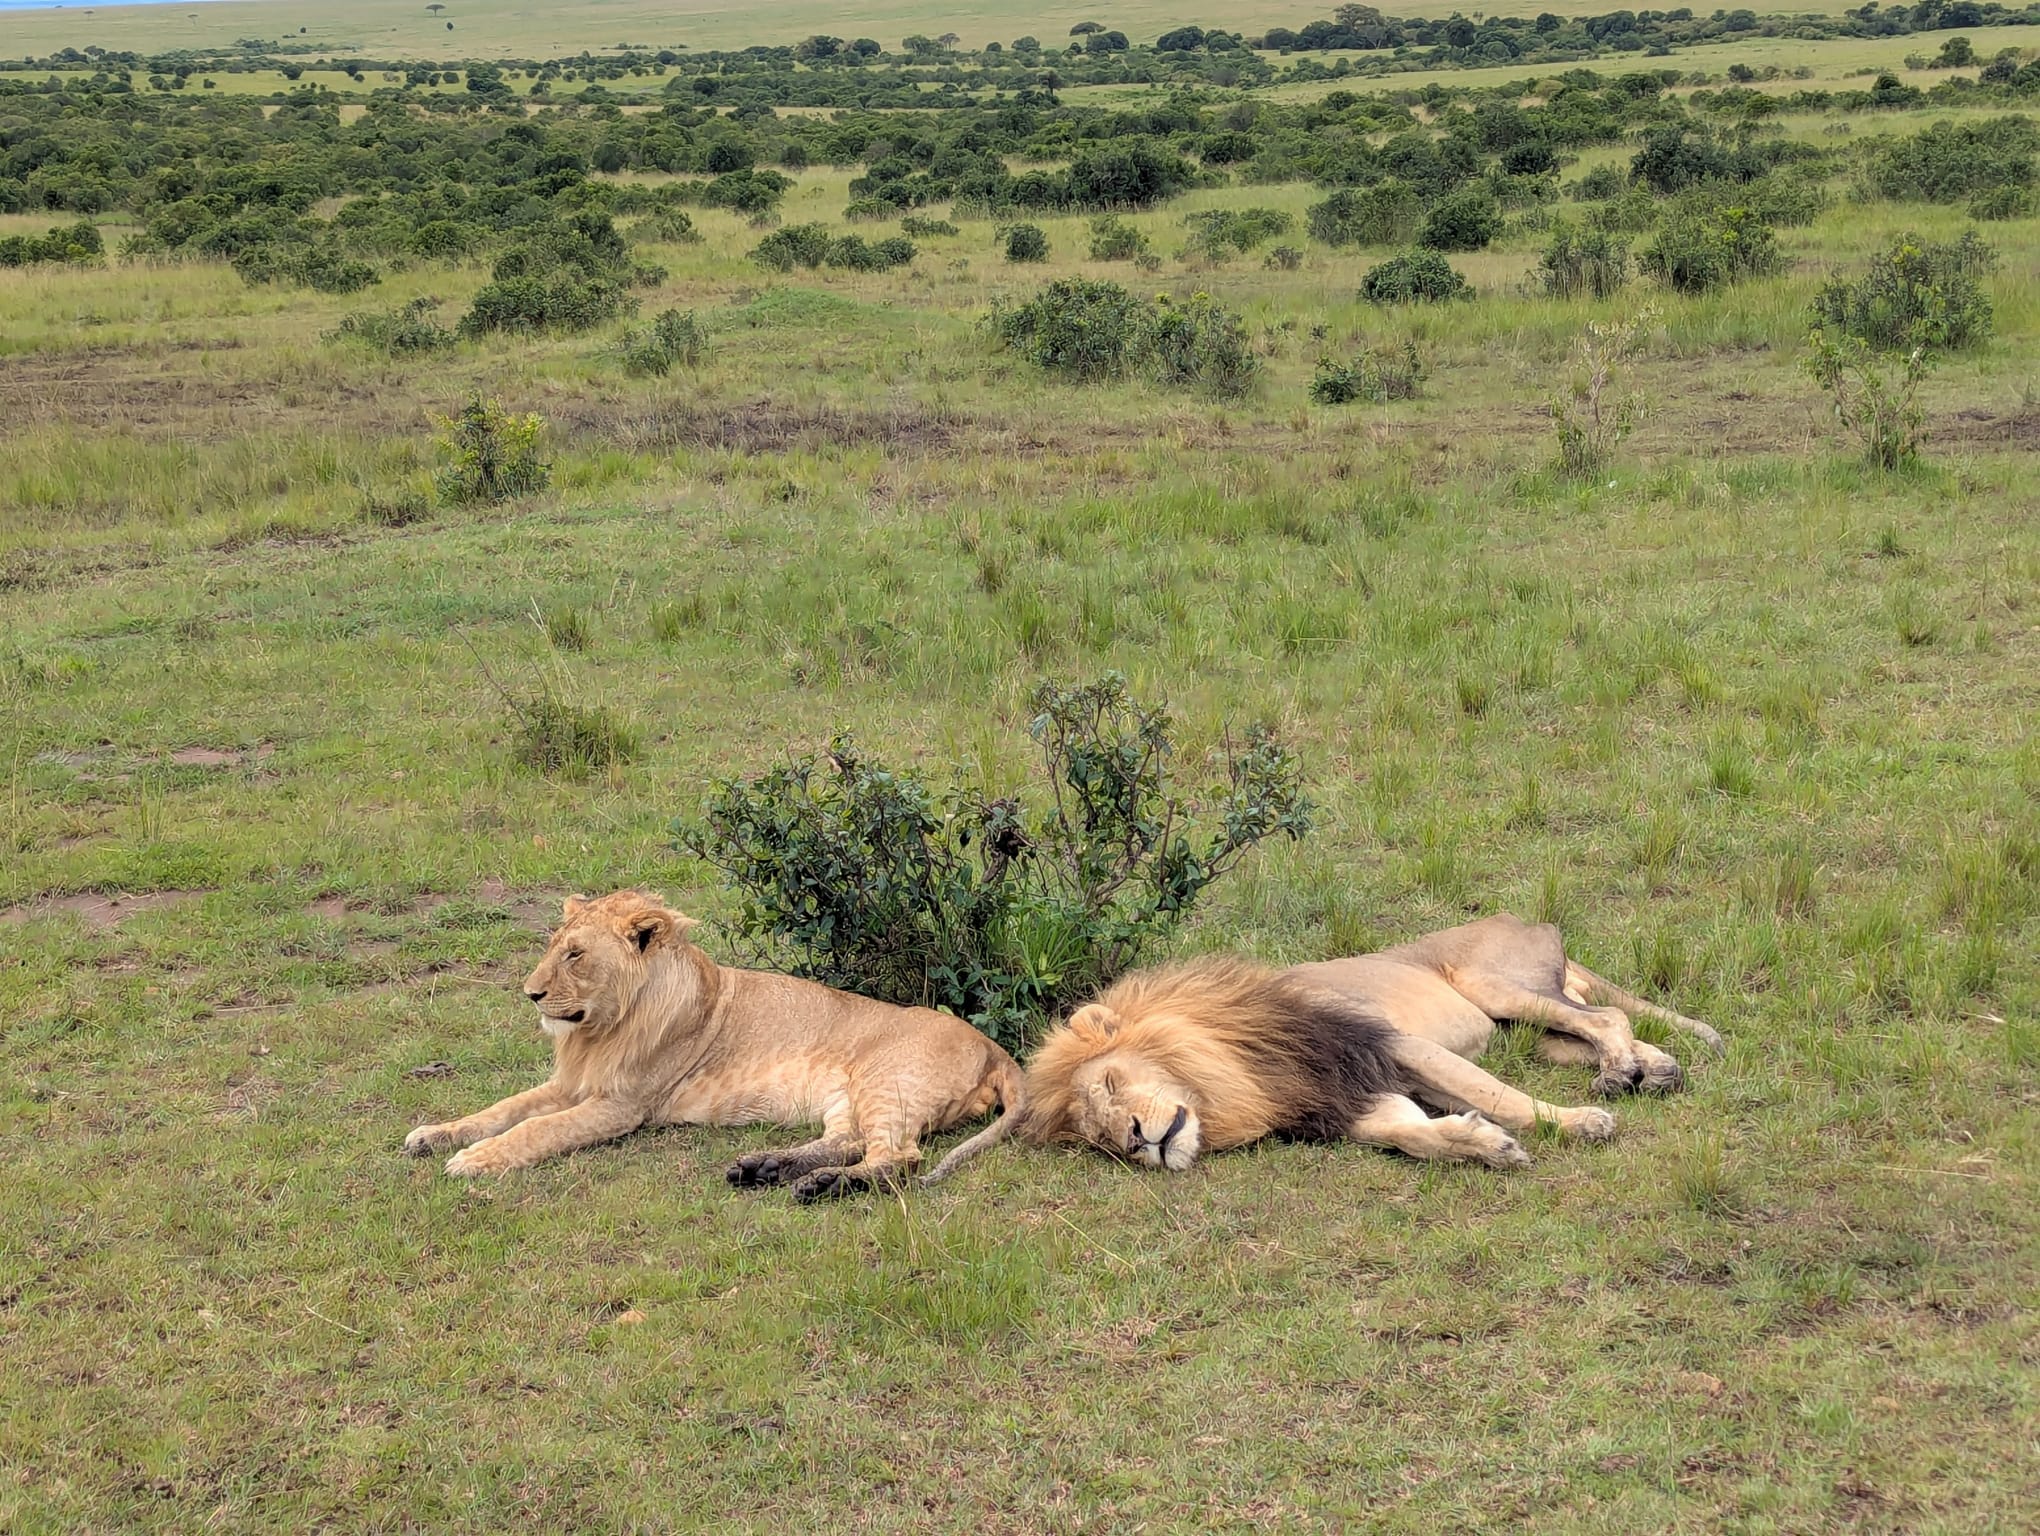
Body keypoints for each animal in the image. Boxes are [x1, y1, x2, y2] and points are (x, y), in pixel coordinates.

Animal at [402, 891, 1022, 1200]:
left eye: (575, 955)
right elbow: (501, 1110)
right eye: (554, 946)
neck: (600, 1029)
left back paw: (818, 1185)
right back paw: (764, 1168)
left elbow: (535, 1129)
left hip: (885, 1080)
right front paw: (434, 1135)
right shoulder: (571, 1083)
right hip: (853, 1096)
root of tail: (995, 1048)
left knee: (898, 1158)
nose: (530, 994)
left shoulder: (621, 1105)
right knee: (848, 1141)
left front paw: (475, 1161)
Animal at [1020, 914, 1719, 1172]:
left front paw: (1577, 1125)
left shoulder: (1392, 1045)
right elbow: (1409, 1133)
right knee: (1597, 1025)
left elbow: (1501, 1096)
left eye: (1112, 1083)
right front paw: (1479, 1143)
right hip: (1532, 1033)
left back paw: (1622, 1074)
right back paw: (1654, 1070)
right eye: (1099, 1139)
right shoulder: (1346, 1100)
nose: (1137, 1139)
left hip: (1494, 985)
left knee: (1608, 1016)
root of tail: (1530, 919)